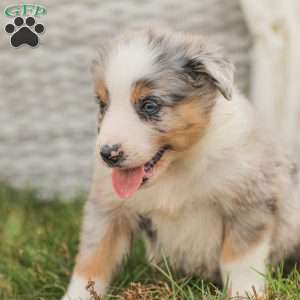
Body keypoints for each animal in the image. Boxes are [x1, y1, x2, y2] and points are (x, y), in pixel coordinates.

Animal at [62, 28, 298, 300]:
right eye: (103, 105)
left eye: (150, 105)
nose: (107, 154)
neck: (177, 167)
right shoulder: (109, 208)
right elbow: (92, 260)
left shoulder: (249, 201)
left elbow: (239, 260)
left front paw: (243, 294)